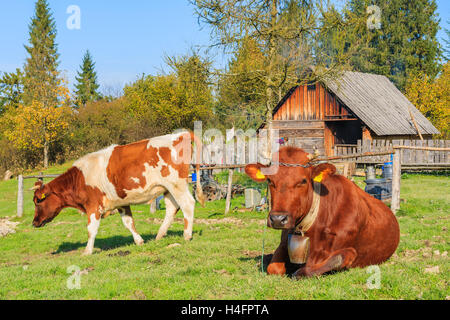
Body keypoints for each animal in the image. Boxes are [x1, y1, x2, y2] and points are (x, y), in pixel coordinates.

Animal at [31, 131, 206, 255]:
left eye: (38, 201)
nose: (34, 223)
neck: (80, 178)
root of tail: (180, 134)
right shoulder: (121, 203)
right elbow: (129, 223)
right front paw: (139, 241)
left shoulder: (93, 206)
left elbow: (91, 229)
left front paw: (87, 251)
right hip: (168, 188)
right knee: (172, 208)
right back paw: (159, 235)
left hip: (177, 184)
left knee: (187, 204)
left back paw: (187, 235)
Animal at [246, 147, 400, 278]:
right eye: (269, 180)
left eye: (303, 181)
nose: (278, 219)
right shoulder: (284, 242)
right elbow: (273, 268)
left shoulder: (341, 251)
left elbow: (310, 268)